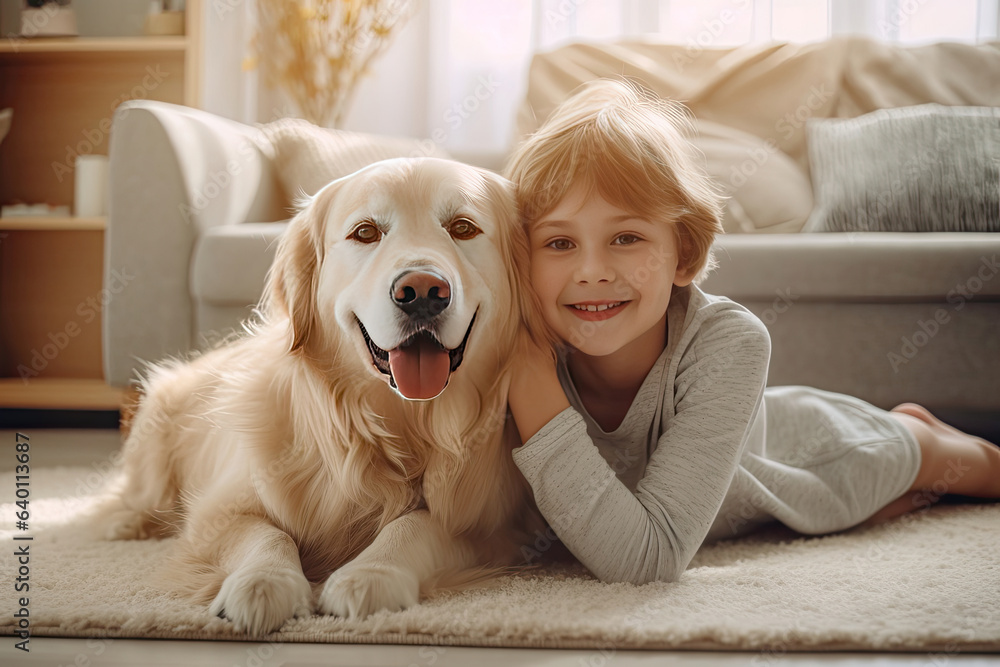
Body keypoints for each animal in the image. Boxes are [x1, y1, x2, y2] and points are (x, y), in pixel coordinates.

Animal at [87, 157, 552, 636]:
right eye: (365, 232)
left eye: (463, 227)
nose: (422, 291)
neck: (397, 421)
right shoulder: (218, 512)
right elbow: (267, 533)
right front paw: (262, 582)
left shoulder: (493, 527)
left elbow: (417, 525)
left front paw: (370, 574)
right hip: (159, 410)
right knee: (138, 491)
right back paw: (126, 521)